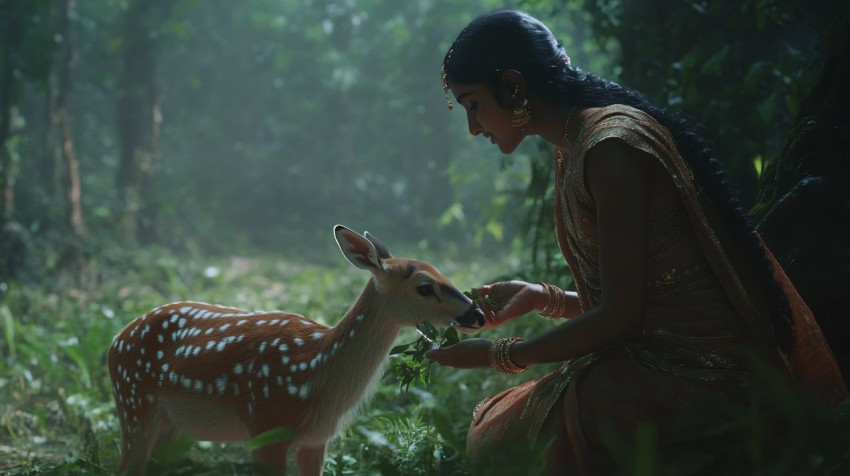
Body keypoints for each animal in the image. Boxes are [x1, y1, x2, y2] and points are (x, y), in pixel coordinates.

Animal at [107, 225, 484, 474]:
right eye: (424, 287)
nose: (477, 314)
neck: (315, 375)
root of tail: (116, 340)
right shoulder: (265, 427)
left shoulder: (317, 439)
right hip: (134, 403)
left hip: (169, 425)